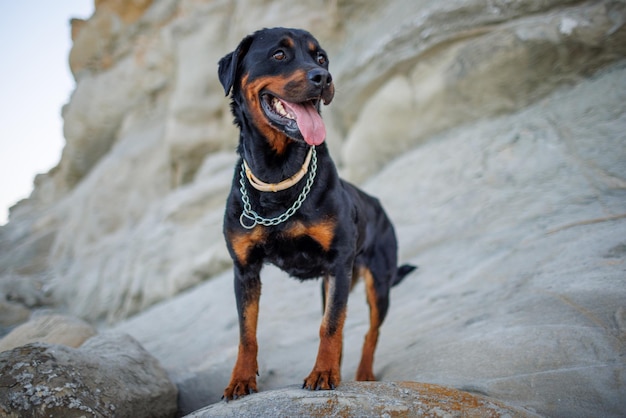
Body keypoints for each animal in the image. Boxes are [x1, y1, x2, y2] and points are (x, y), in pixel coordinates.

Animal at [217, 27, 412, 400]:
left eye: (321, 58)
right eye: (279, 55)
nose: (323, 77)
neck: (278, 177)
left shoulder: (338, 262)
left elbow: (330, 326)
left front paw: (322, 373)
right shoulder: (245, 270)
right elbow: (247, 333)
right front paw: (240, 379)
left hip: (377, 281)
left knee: (369, 331)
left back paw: (363, 374)